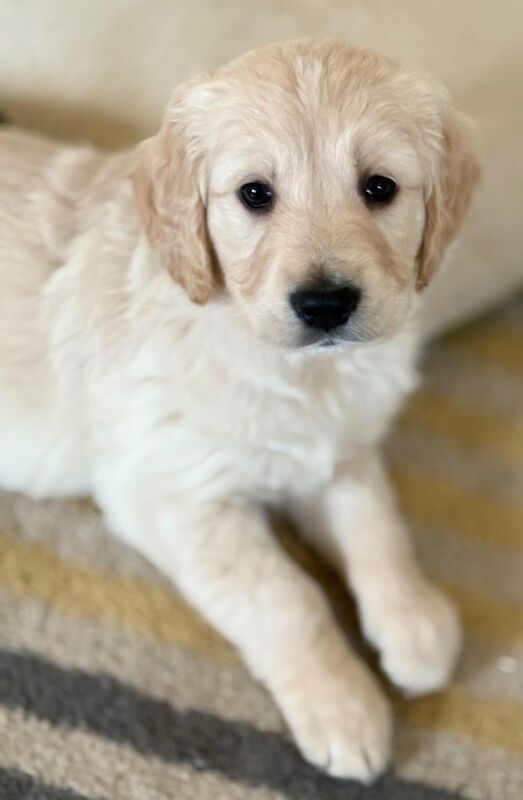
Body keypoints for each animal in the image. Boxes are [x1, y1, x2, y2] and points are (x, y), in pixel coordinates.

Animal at [0, 40, 482, 784]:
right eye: (255, 193)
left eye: (379, 187)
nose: (324, 303)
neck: (299, 373)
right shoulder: (172, 494)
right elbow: (286, 600)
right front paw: (342, 705)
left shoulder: (338, 450)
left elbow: (377, 527)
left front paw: (413, 622)